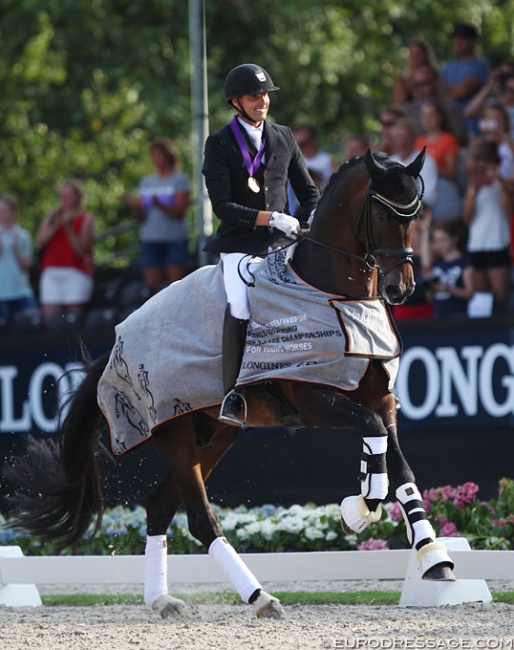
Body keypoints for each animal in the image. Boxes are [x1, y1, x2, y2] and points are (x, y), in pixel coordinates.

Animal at [5, 148, 452, 616]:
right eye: (382, 214)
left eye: (416, 215)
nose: (400, 288)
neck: (335, 294)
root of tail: (117, 344)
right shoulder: (315, 400)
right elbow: (373, 434)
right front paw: (359, 510)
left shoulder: (380, 398)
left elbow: (399, 463)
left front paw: (434, 559)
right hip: (175, 434)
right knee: (201, 519)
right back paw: (260, 596)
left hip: (215, 434)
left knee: (160, 507)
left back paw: (162, 599)